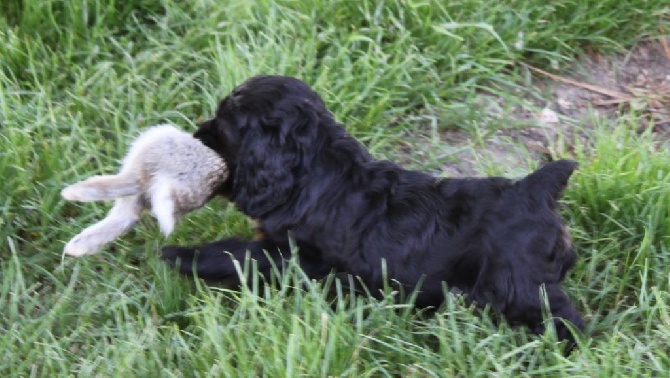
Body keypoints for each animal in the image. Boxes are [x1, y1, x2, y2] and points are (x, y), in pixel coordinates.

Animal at [160, 75, 584, 346]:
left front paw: (179, 255)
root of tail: (534, 189)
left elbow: (235, 253)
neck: (313, 169)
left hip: (518, 283)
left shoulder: (296, 256)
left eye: (225, 124)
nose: (198, 132)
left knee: (562, 314)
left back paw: (560, 347)